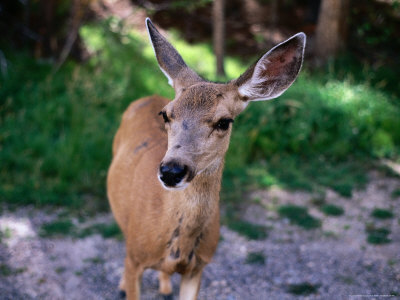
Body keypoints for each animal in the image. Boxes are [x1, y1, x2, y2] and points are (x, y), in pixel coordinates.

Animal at [107, 18, 306, 300]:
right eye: (166, 114)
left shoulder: (199, 267)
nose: (171, 171)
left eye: (224, 122)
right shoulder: (137, 257)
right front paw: (126, 286)